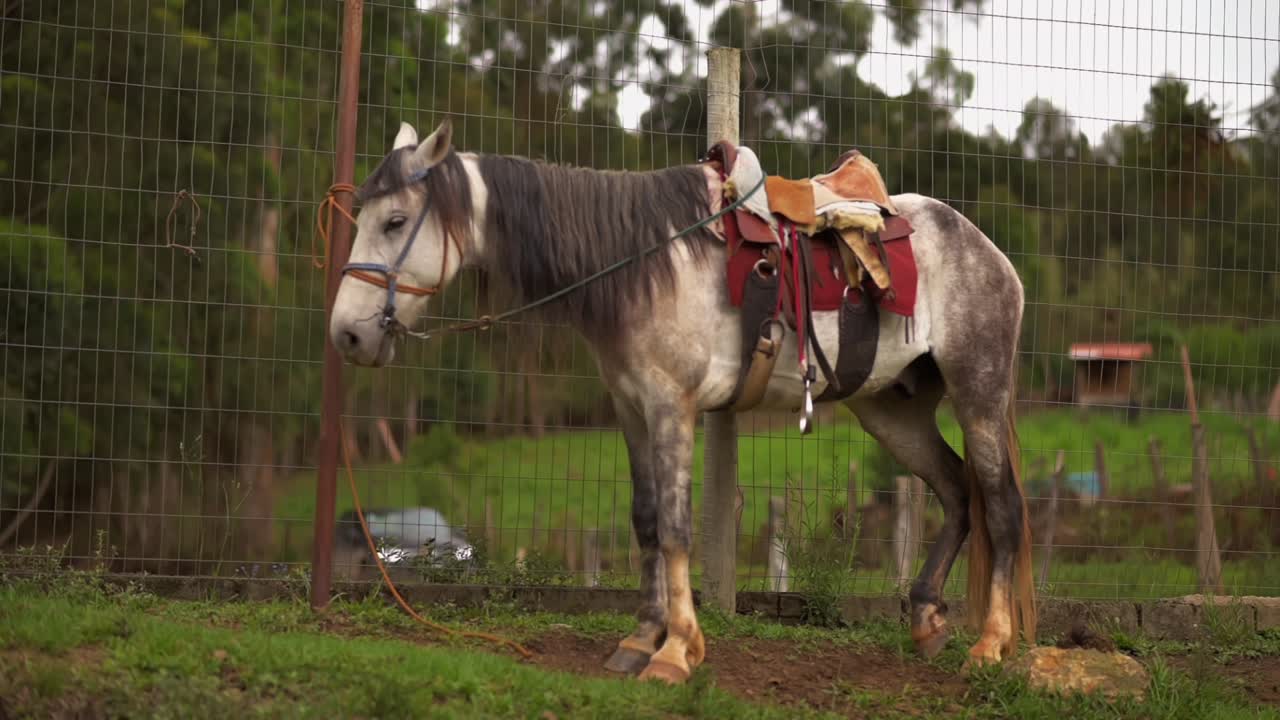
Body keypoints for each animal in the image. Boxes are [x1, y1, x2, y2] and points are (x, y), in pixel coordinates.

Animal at [328, 119, 1036, 683]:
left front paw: (676, 652)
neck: (641, 259)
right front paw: (641, 639)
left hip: (978, 391)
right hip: (892, 410)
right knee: (956, 490)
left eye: (395, 221)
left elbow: (674, 527)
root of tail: (988, 251)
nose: (348, 335)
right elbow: (645, 521)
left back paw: (991, 644)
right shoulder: (631, 408)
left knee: (1000, 506)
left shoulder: (673, 407)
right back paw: (925, 619)